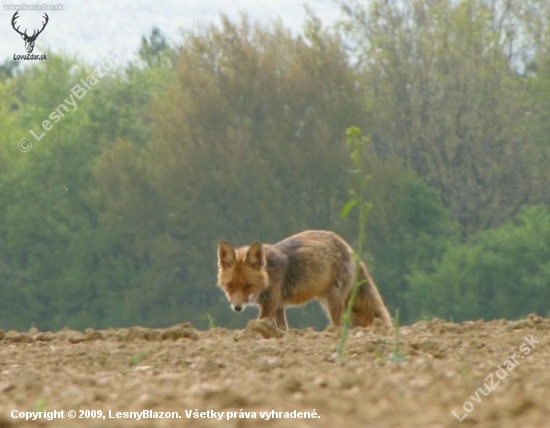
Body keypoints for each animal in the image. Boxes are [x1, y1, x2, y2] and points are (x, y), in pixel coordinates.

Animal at [218, 231, 394, 328]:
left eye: (248, 285)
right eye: (230, 285)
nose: (237, 308)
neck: (268, 275)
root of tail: (349, 248)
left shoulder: (271, 305)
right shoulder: (278, 306)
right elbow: (283, 329)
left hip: (334, 303)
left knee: (337, 325)